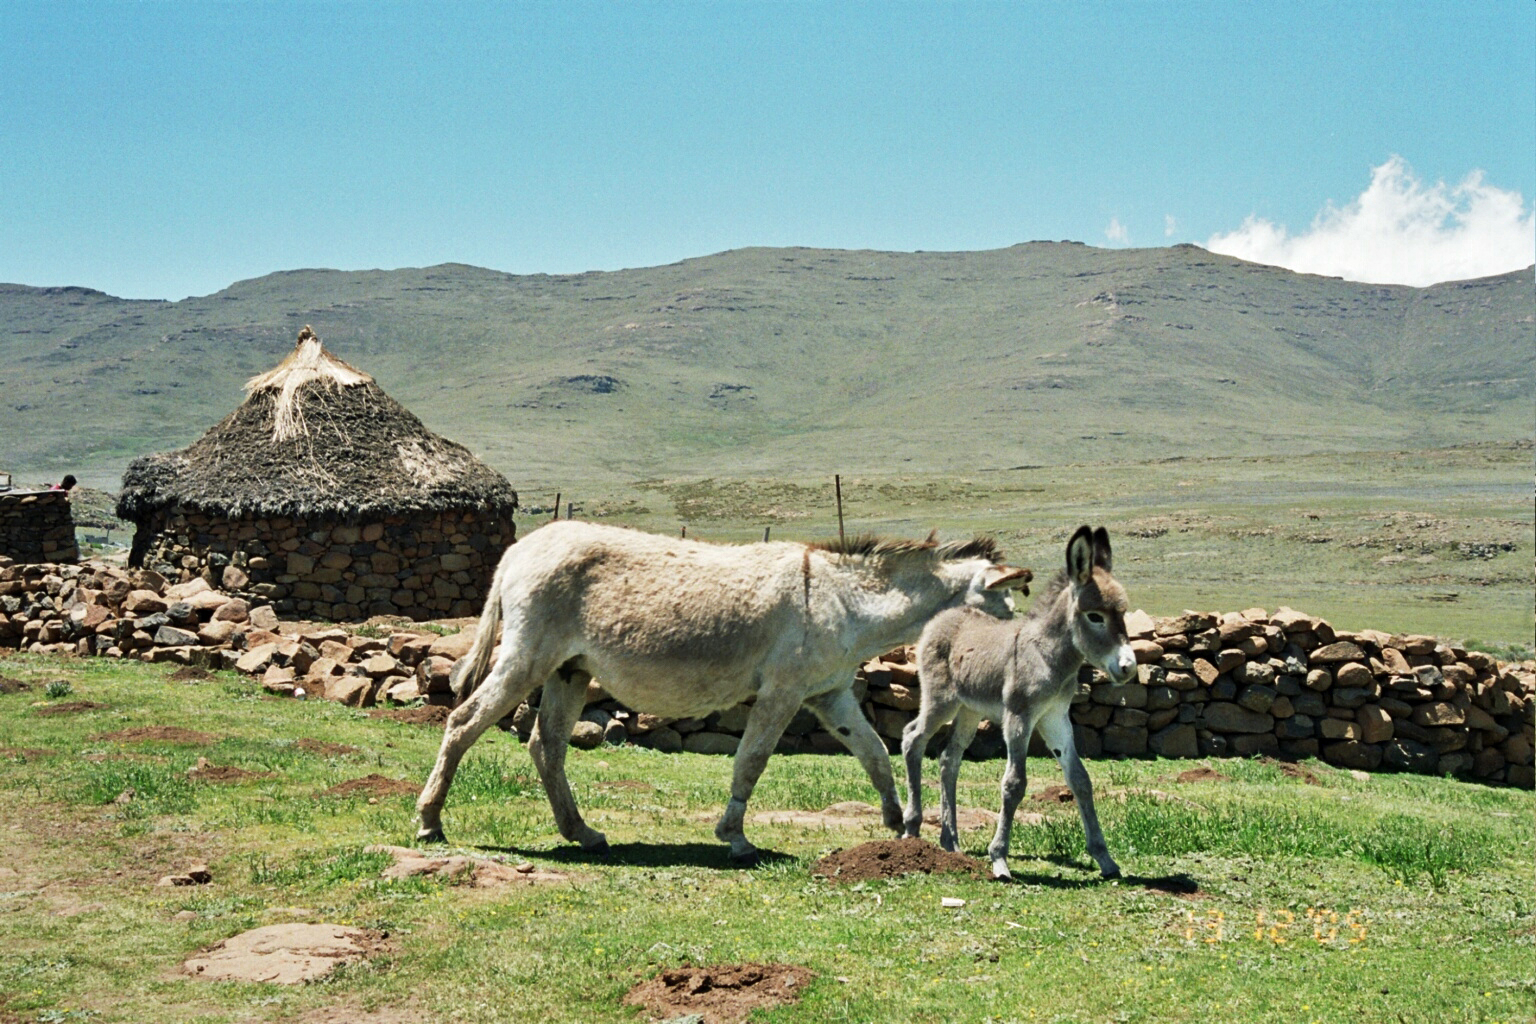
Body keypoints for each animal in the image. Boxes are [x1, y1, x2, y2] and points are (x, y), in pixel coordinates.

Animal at [897, 528, 1142, 884]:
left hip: (969, 710)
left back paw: (950, 840)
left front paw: (1105, 859)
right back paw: (912, 828)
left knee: (948, 758)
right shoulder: (1019, 717)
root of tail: (942, 617)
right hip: (940, 701)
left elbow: (1080, 780)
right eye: (1095, 616)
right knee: (913, 738)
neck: (1047, 655)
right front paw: (999, 859)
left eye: (1122, 614)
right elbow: (1014, 784)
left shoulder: (1056, 719)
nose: (1128, 667)